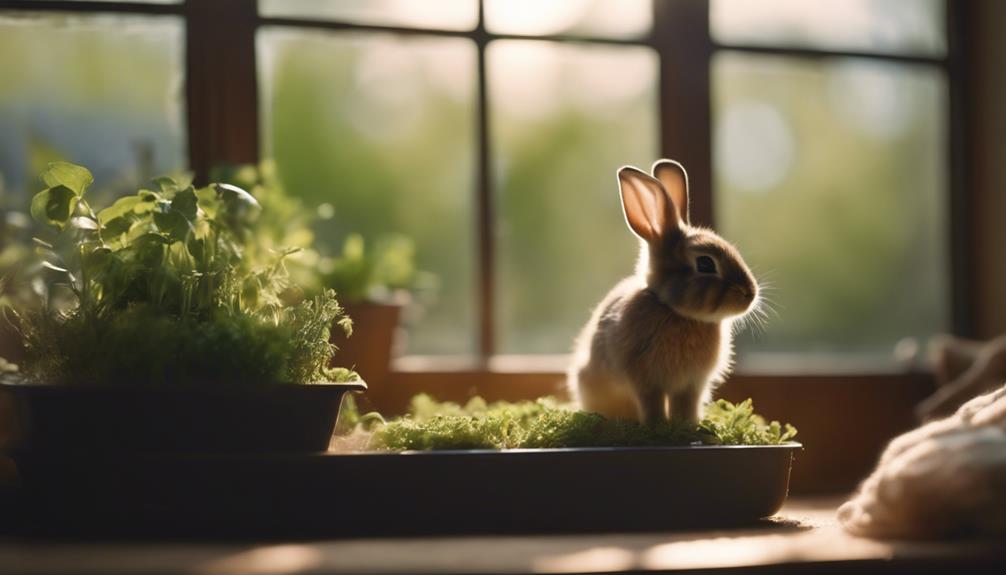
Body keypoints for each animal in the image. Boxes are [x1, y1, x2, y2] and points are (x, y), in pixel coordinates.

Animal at [567, 159, 759, 425]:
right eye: (705, 264)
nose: (750, 294)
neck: (674, 311)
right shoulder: (645, 381)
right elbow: (652, 403)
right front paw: (656, 425)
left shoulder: (692, 384)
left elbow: (686, 405)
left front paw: (688, 425)